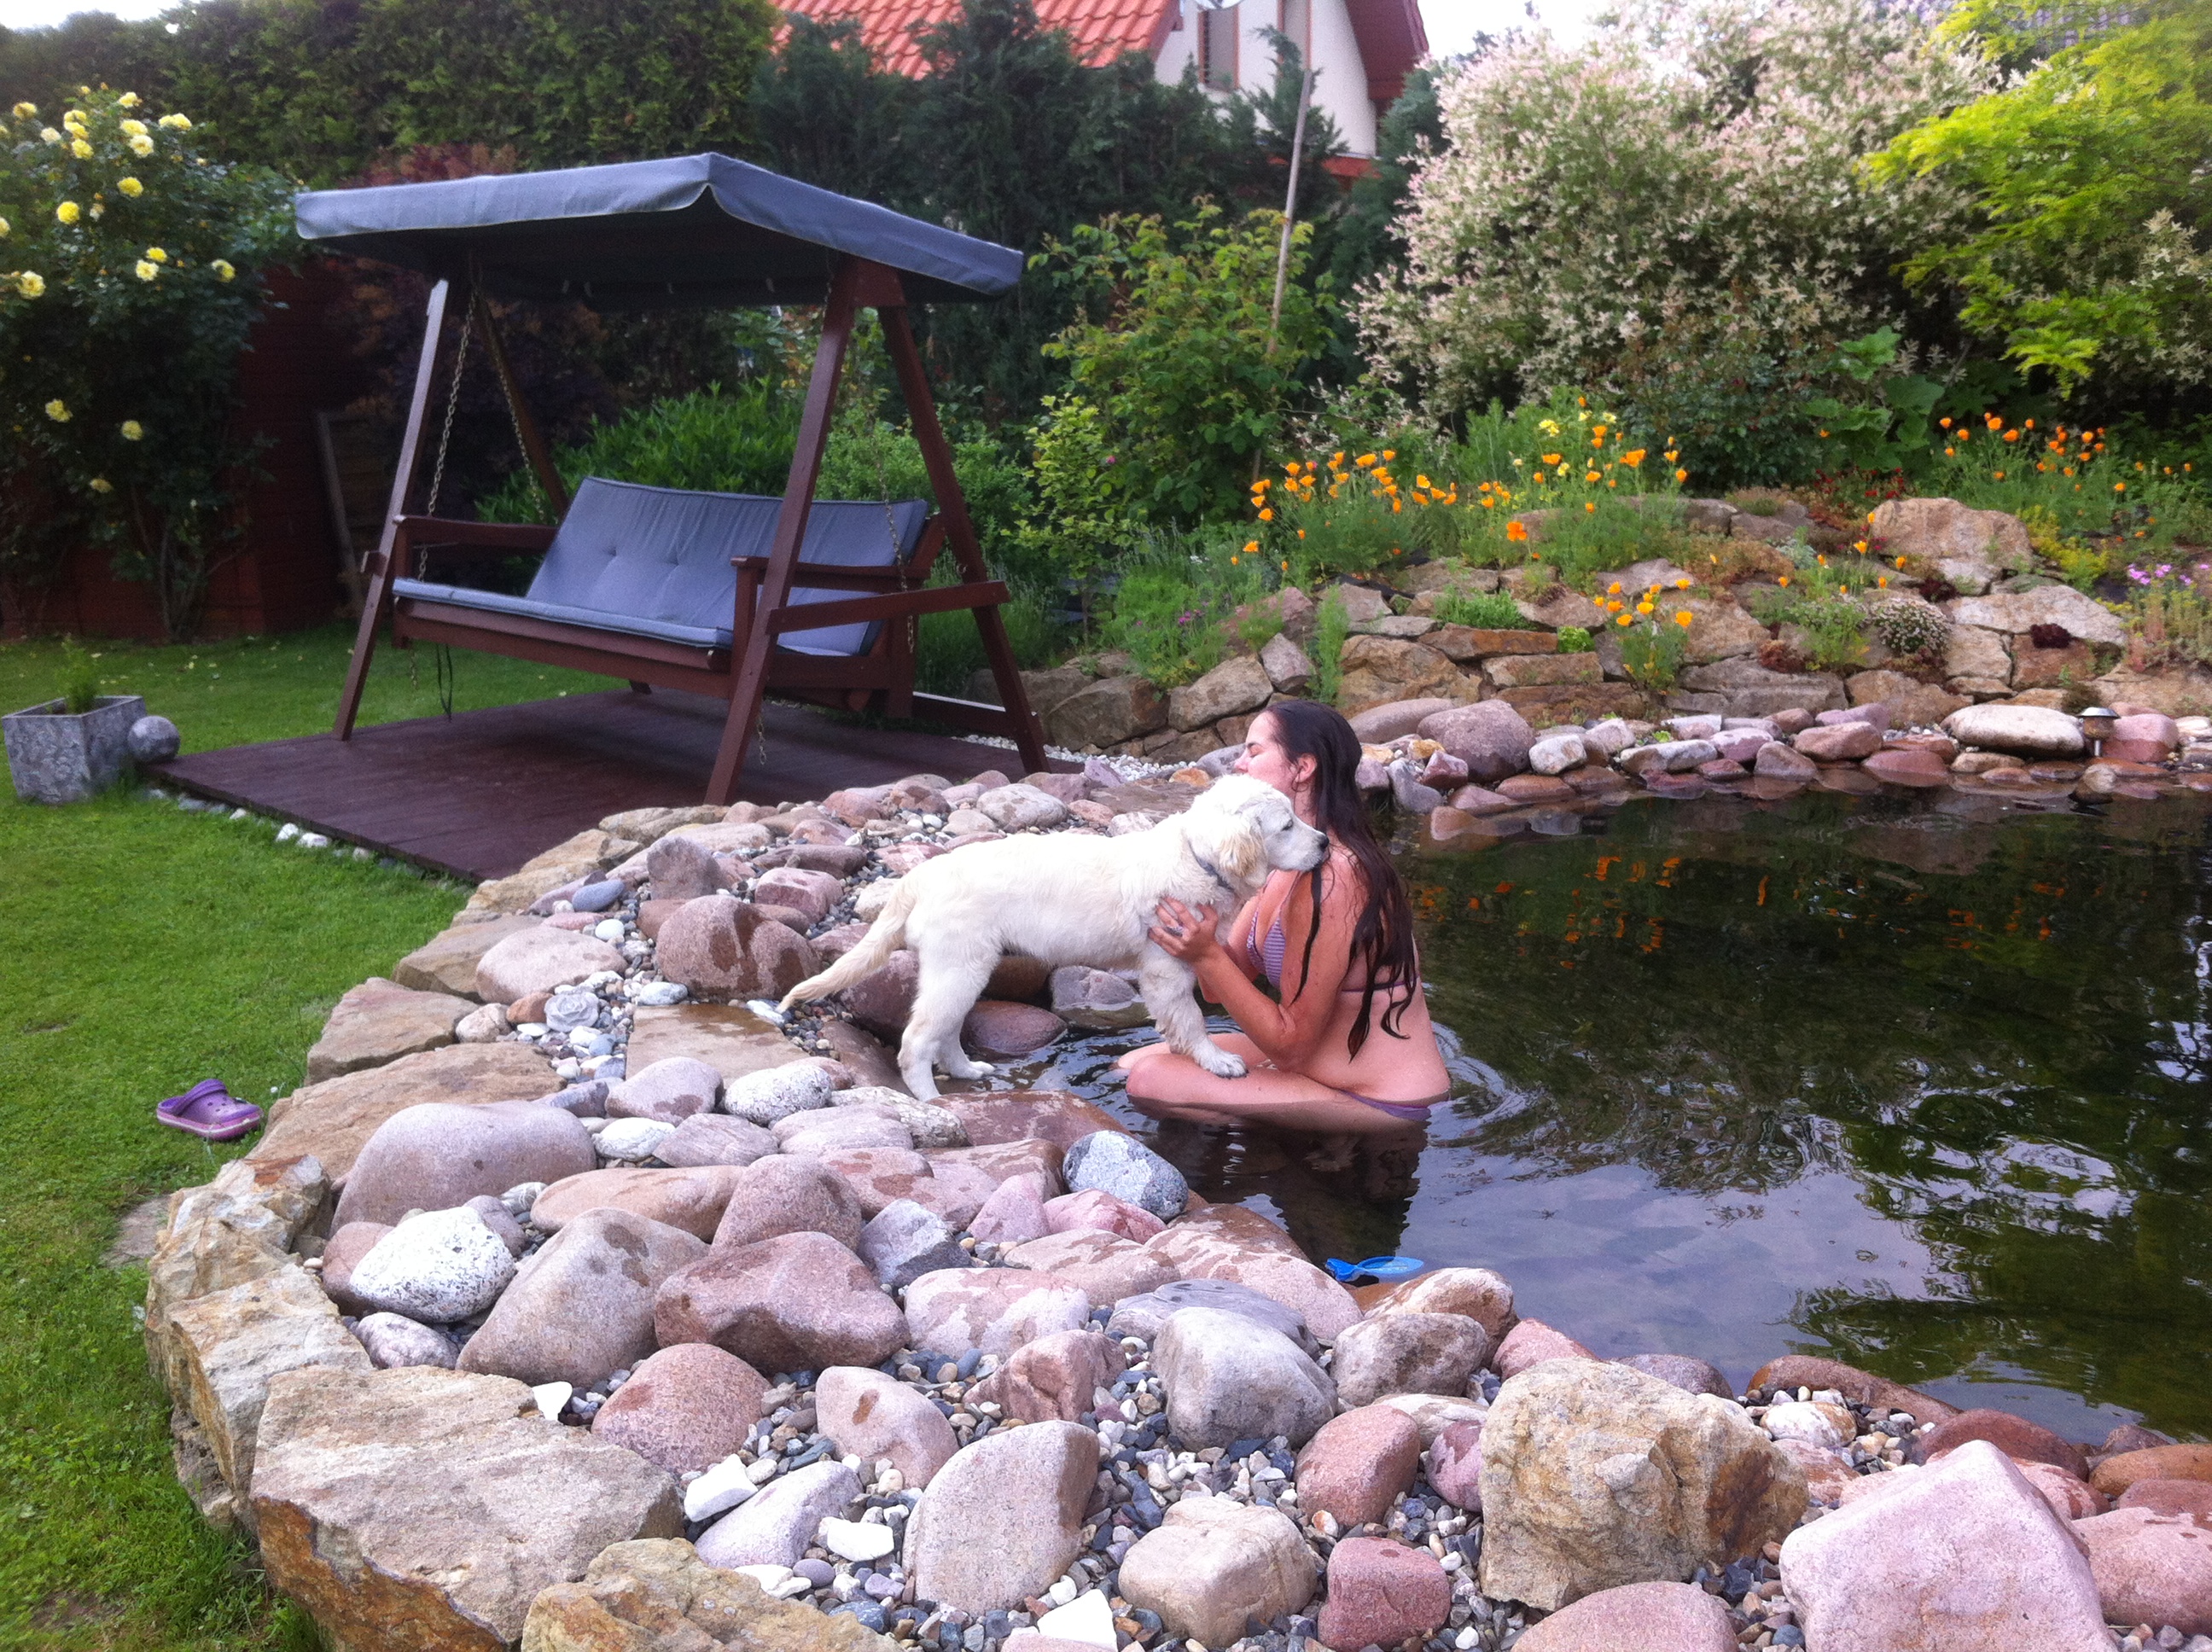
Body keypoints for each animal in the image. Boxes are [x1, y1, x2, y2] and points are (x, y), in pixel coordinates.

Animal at [780, 774, 1330, 1099]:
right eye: (1287, 825)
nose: (1325, 842)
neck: (1196, 857)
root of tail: (920, 875)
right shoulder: (1166, 964)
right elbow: (1191, 1019)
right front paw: (1216, 1061)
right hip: (960, 962)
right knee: (917, 1040)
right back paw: (935, 1105)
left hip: (964, 966)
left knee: (946, 1030)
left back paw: (968, 1072)